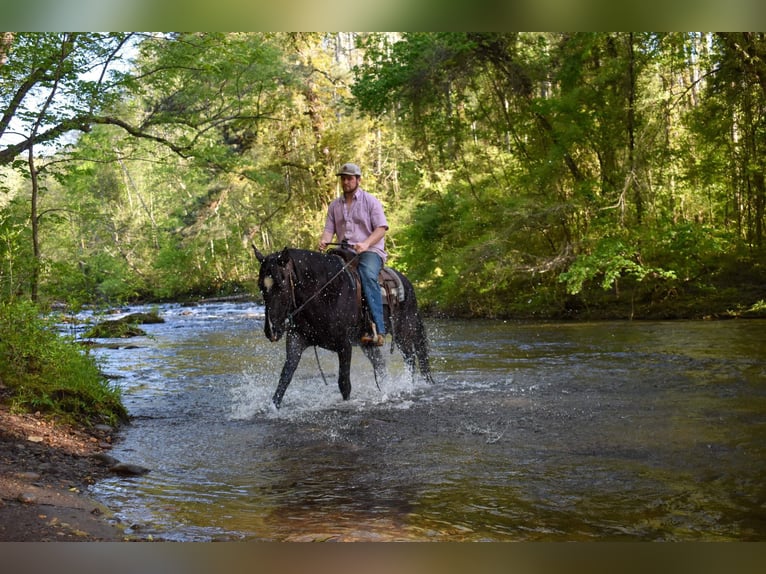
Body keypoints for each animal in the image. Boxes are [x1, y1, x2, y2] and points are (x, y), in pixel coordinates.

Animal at [252, 248, 432, 410]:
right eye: (260, 285)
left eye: (281, 284)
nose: (271, 331)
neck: (324, 294)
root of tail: (407, 283)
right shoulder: (297, 338)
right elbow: (285, 377)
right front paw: (273, 407)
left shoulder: (344, 345)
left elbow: (344, 383)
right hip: (368, 344)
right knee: (381, 365)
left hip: (404, 332)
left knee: (411, 358)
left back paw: (408, 386)